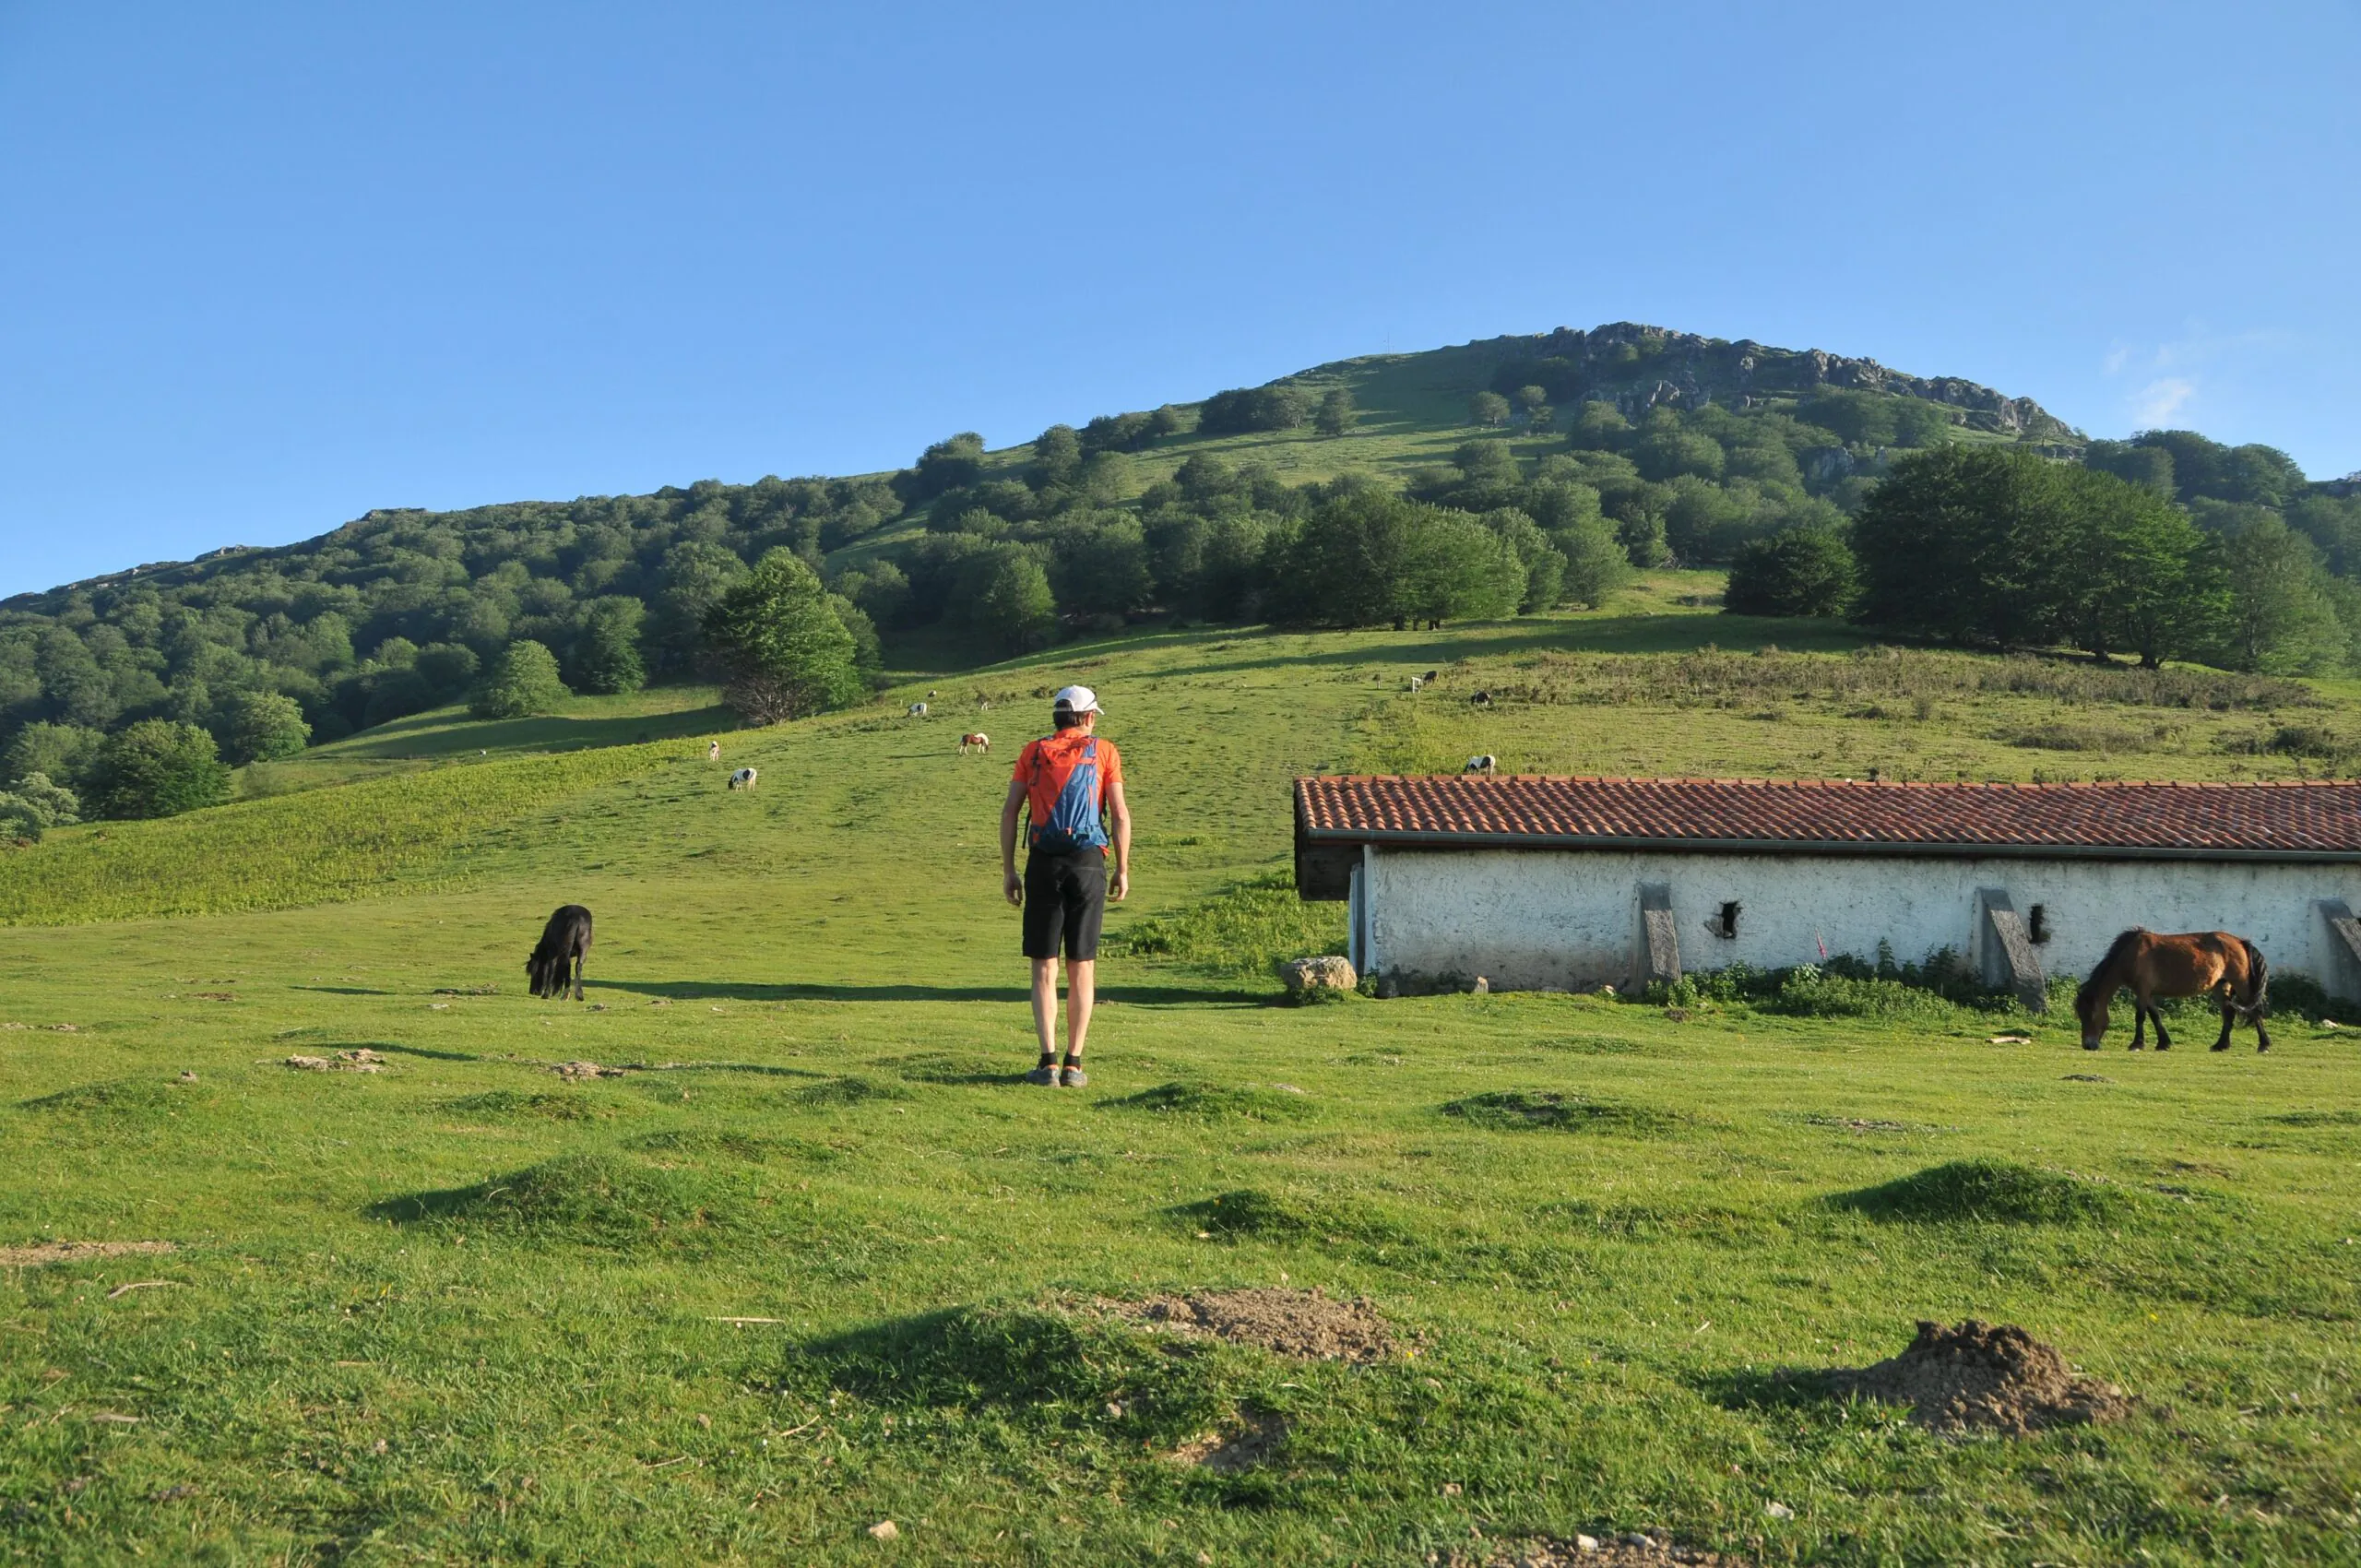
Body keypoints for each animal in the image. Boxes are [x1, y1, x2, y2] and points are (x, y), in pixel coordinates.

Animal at [2077, 930, 2257, 1052]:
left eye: (2091, 1015)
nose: (2088, 1045)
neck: (2131, 954)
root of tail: (2240, 941)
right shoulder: (2147, 993)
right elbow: (2155, 1016)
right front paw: (2163, 1043)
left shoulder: (2142, 990)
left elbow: (2140, 1016)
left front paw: (2137, 1044)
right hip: (2221, 986)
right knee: (2228, 1014)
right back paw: (2221, 1045)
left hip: (2240, 984)